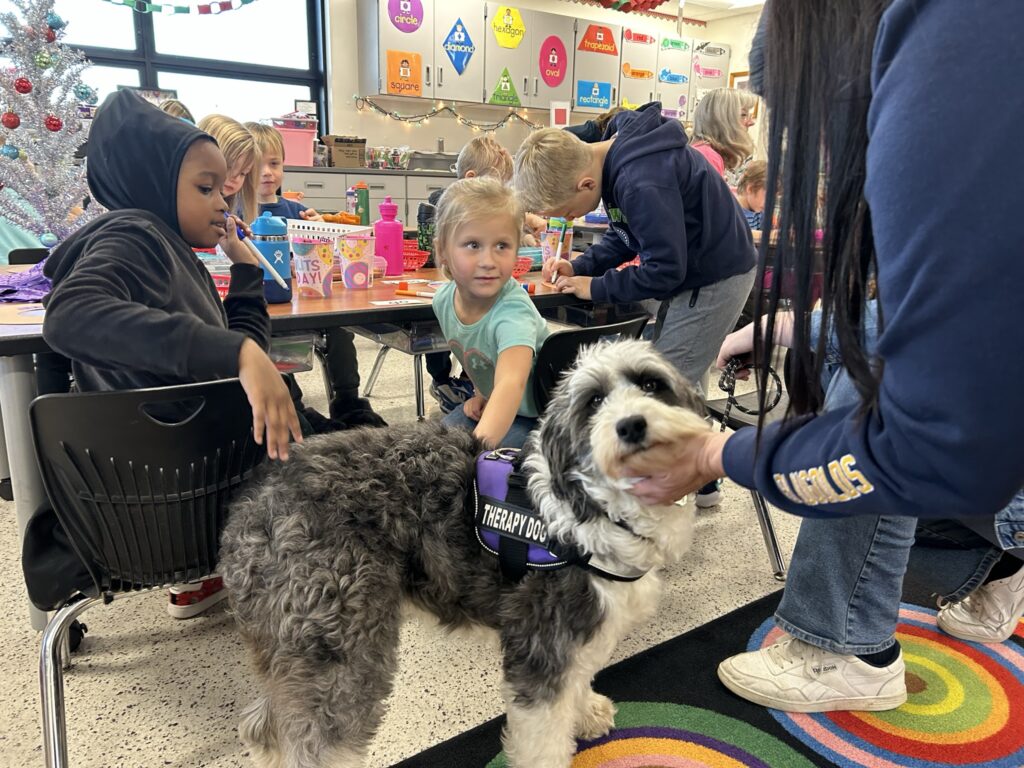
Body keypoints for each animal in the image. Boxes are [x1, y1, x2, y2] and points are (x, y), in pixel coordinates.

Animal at [220, 342, 708, 768]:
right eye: (594, 402)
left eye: (652, 385)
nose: (631, 425)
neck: (592, 502)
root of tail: (253, 502)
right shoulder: (540, 645)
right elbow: (543, 738)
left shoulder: (579, 633)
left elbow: (580, 677)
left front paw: (586, 712)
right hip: (339, 645)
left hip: (290, 645)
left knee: (263, 727)